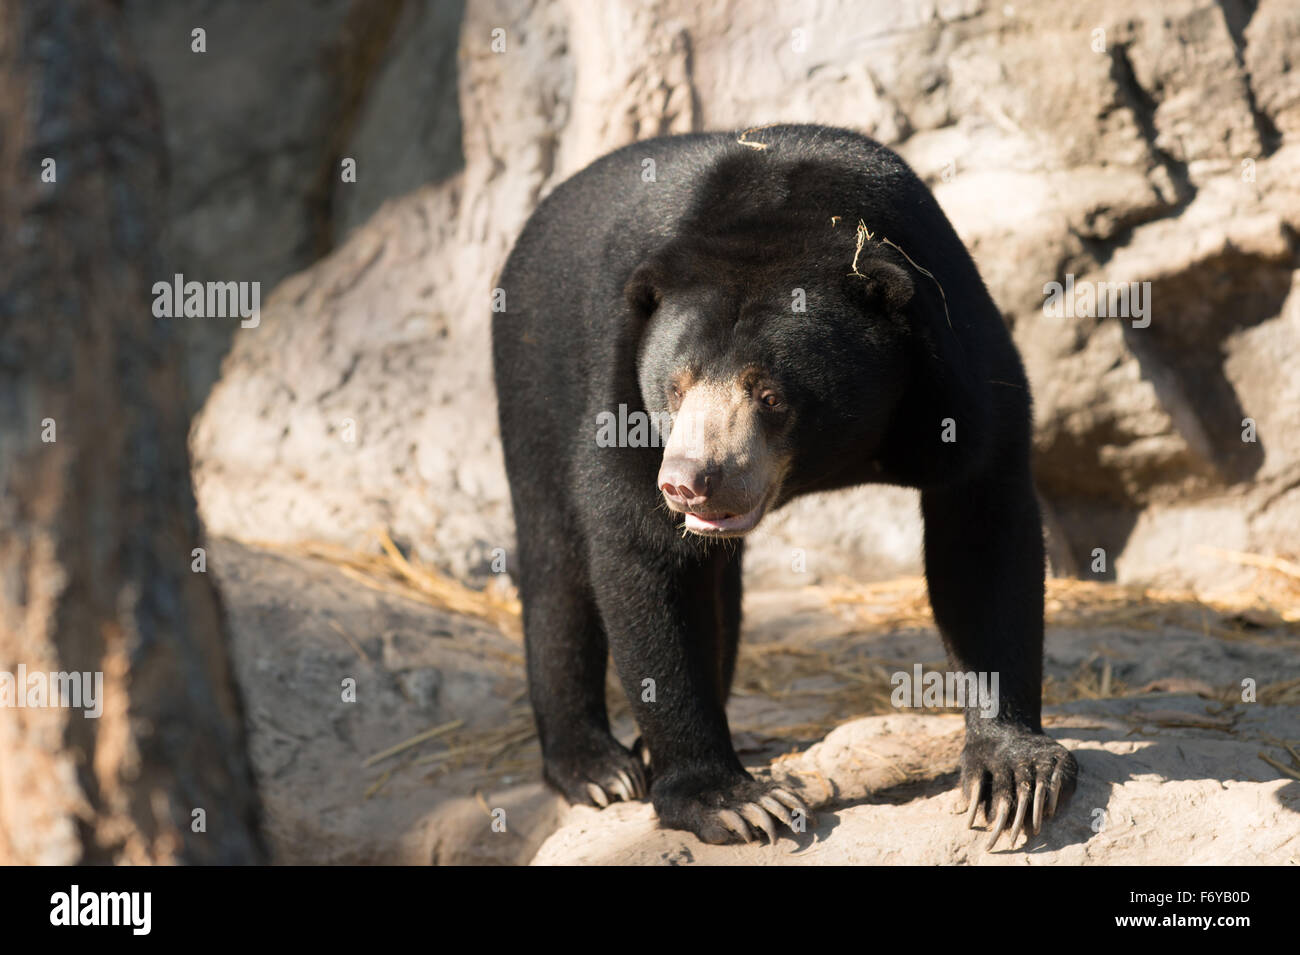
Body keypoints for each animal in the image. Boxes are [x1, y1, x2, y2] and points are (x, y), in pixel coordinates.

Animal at [492, 124, 1077, 848]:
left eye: (769, 395)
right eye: (675, 386)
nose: (689, 483)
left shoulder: (957, 365)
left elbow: (982, 527)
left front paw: (1011, 776)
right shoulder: (619, 384)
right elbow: (644, 552)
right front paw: (734, 801)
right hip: (534, 362)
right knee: (556, 555)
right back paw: (597, 768)